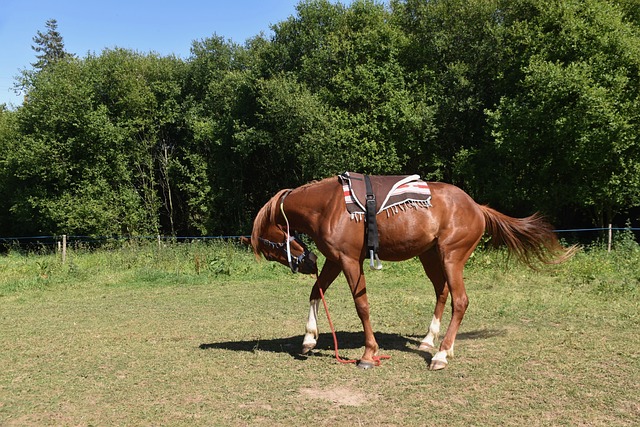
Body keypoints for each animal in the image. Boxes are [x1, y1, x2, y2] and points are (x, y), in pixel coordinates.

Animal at [250, 176, 576, 372]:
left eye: (270, 248)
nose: (307, 263)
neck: (329, 206)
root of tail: (477, 206)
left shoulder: (349, 261)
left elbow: (361, 305)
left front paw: (368, 355)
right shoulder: (334, 260)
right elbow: (316, 291)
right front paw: (309, 339)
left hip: (451, 258)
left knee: (460, 300)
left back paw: (441, 355)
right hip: (430, 256)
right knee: (442, 293)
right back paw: (430, 341)